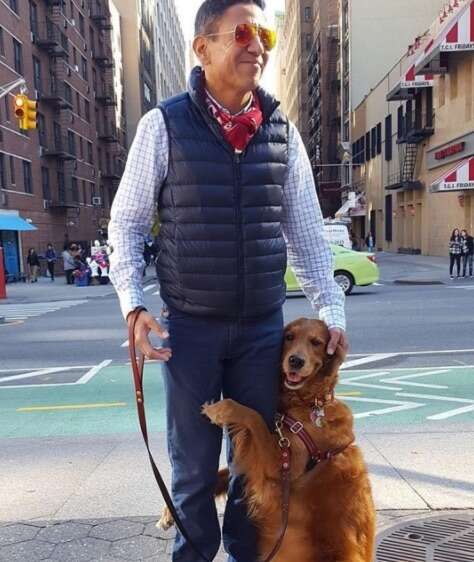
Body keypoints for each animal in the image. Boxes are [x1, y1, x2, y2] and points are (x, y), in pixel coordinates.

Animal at [159, 318, 374, 556]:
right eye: (289, 336)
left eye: (316, 342)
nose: (296, 361)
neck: (309, 403)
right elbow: (222, 473)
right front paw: (169, 513)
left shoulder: (282, 465)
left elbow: (253, 416)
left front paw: (218, 409)